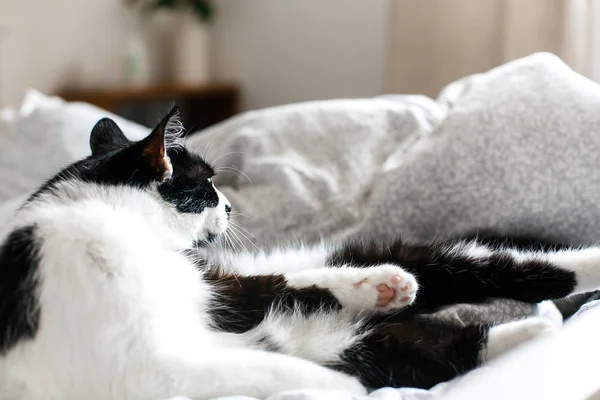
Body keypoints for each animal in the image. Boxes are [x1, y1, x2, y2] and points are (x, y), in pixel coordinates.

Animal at [0, 104, 596, 398]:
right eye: (207, 186)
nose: (231, 207)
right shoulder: (151, 367)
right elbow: (283, 367)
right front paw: (338, 386)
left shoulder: (220, 290)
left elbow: (288, 286)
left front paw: (380, 286)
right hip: (370, 346)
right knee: (448, 344)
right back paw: (536, 330)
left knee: (493, 268)